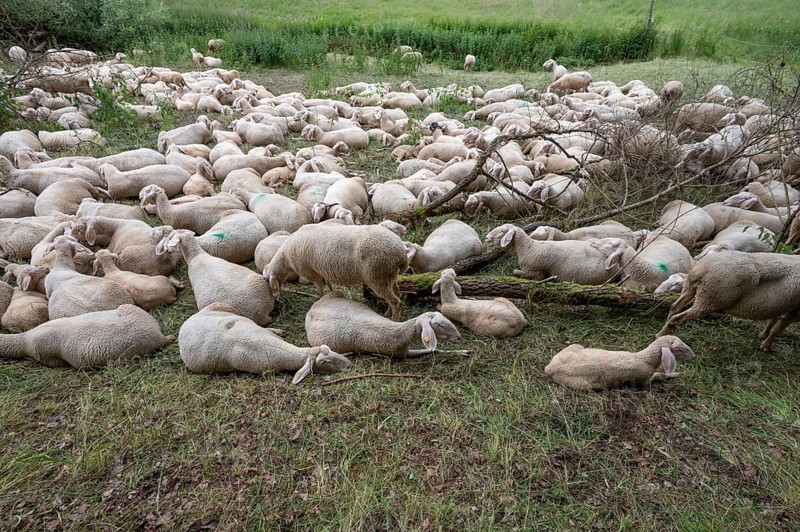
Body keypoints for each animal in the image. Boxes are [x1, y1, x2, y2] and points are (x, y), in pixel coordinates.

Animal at [265, 224, 408, 320]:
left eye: (267, 279)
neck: (285, 258)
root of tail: (401, 254)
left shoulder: (311, 272)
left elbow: (319, 289)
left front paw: (320, 299)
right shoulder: (323, 269)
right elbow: (328, 283)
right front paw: (331, 292)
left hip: (377, 276)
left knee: (396, 302)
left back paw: (394, 320)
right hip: (388, 276)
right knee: (396, 292)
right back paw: (387, 313)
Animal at [306, 291, 461, 357]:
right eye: (439, 325)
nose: (459, 337)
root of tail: (313, 308)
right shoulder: (403, 354)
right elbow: (434, 350)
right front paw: (460, 352)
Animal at [485, 223, 623, 284]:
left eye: (502, 231)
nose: (486, 238)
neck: (529, 247)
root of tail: (617, 266)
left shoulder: (534, 272)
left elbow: (516, 272)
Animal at [544, 335, 695, 390]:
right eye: (679, 349)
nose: (693, 357)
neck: (643, 358)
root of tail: (550, 367)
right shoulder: (644, 380)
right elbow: (659, 376)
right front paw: (673, 374)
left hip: (573, 347)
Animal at [658, 250, 800, 350]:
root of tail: (703, 269)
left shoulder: (782, 304)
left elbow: (773, 320)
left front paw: (763, 336)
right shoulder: (795, 311)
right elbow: (779, 327)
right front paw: (766, 345)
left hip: (691, 288)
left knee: (675, 307)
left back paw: (663, 335)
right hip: (710, 300)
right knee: (677, 318)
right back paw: (662, 334)